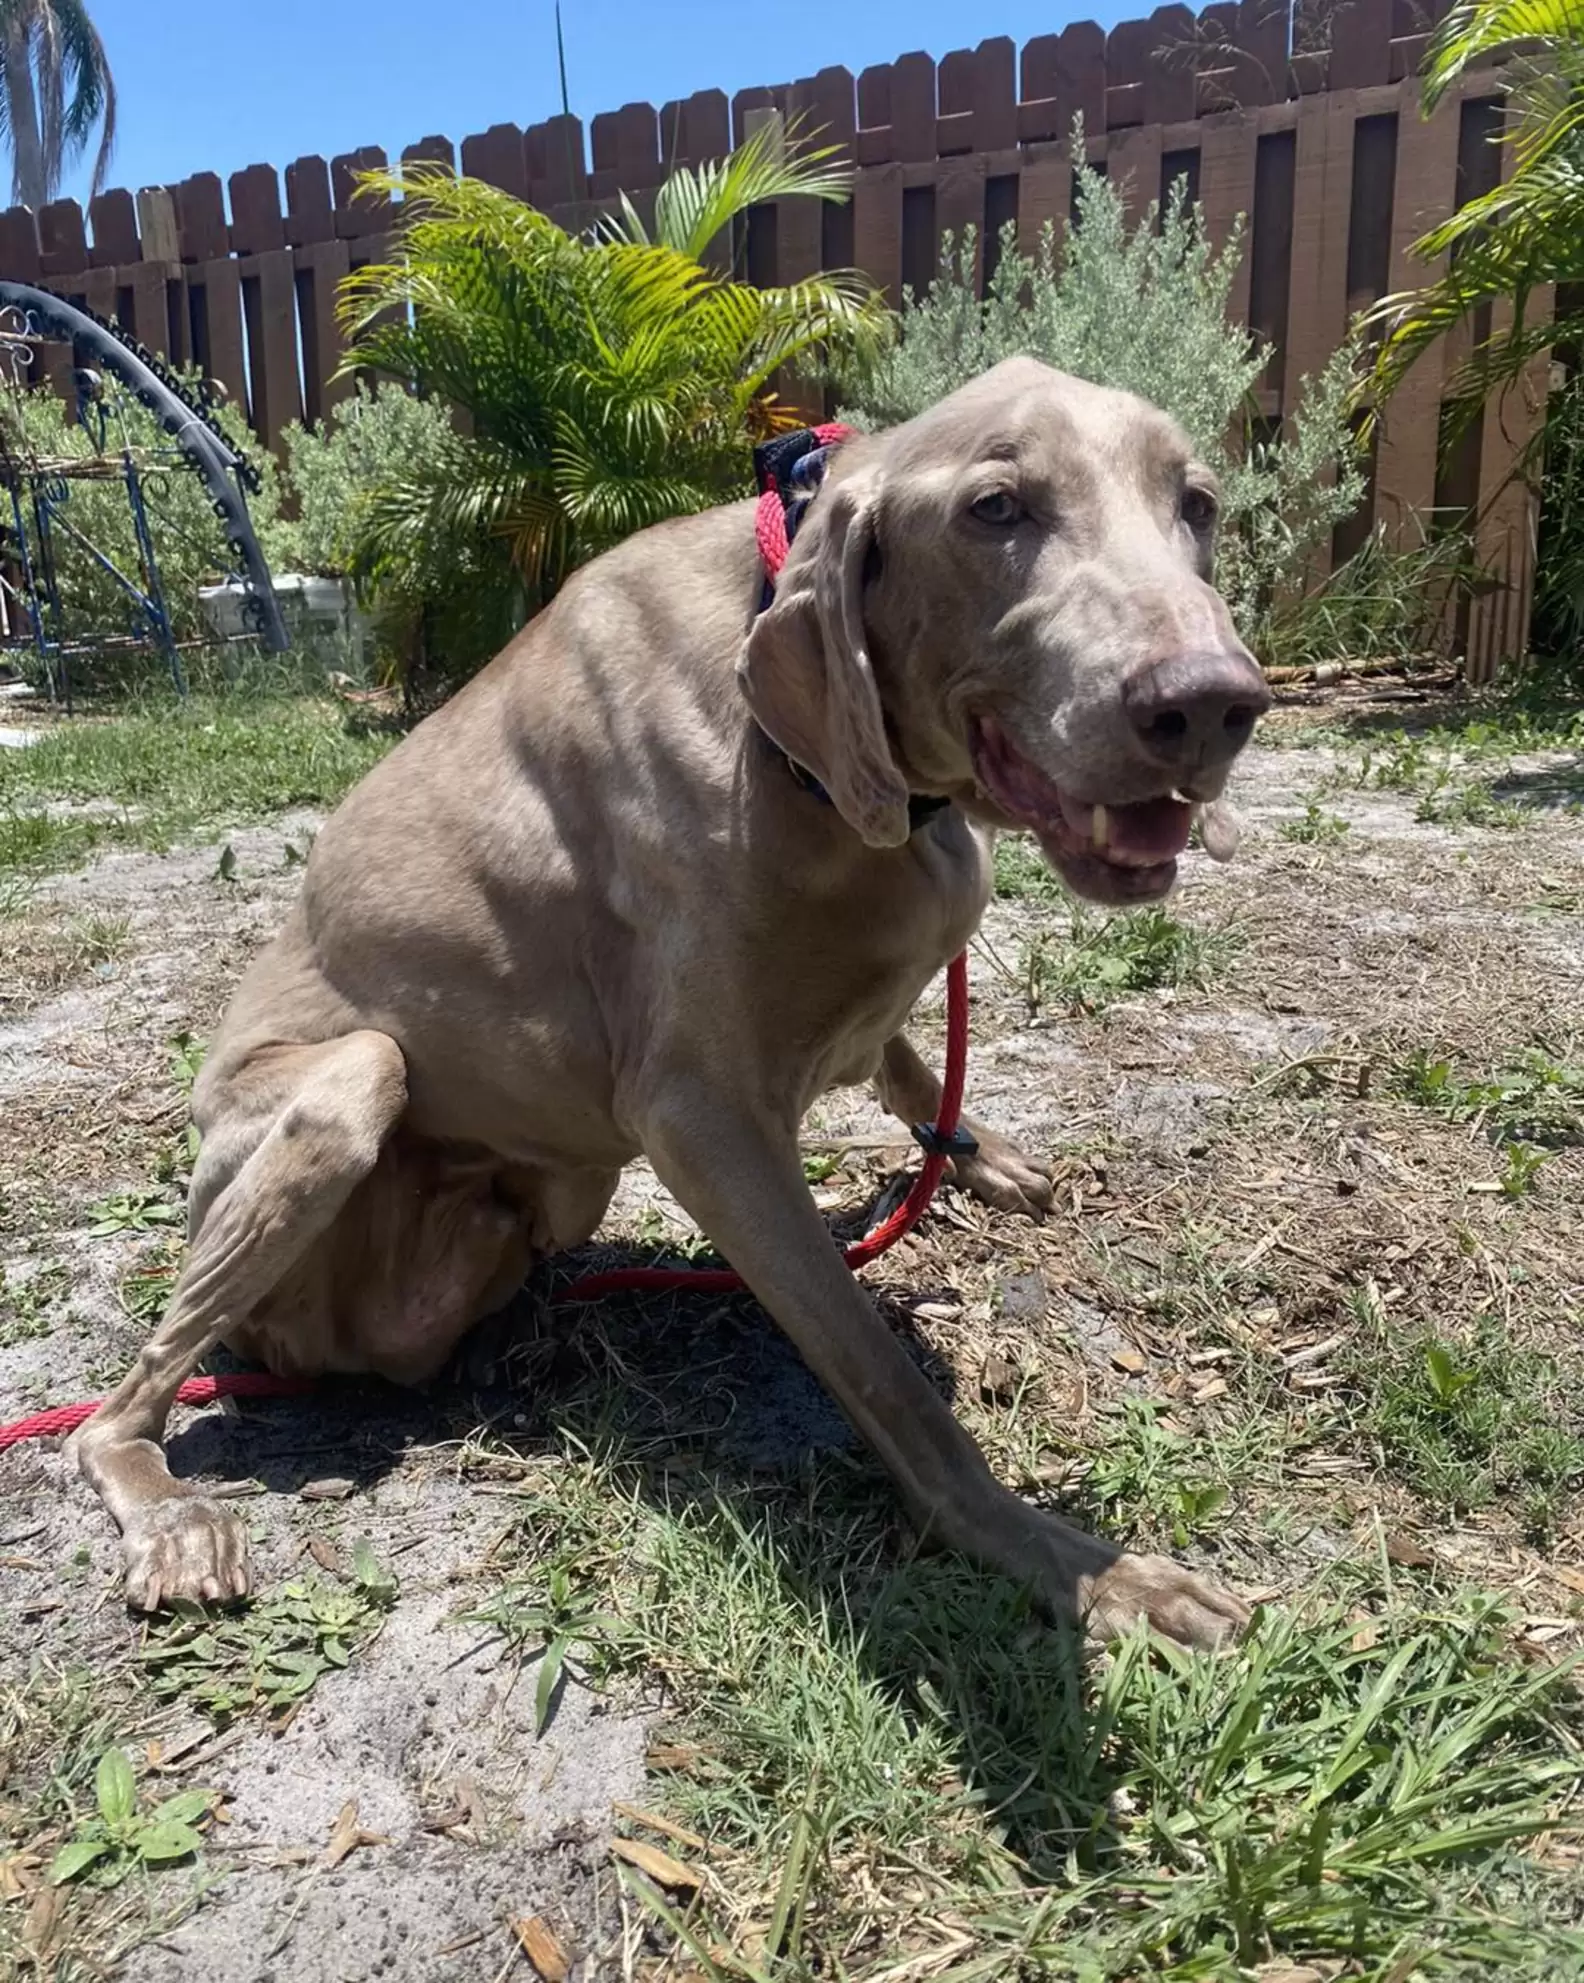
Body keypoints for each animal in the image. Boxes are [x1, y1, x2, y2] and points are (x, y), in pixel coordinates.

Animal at [71, 356, 1276, 1641]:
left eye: (1197, 503)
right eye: (995, 509)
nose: (1210, 703)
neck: (816, 768)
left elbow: (904, 1053)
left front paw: (976, 1150)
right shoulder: (703, 1121)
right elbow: (888, 1383)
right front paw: (1075, 1565)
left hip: (558, 1193)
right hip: (346, 1091)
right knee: (117, 1412)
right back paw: (177, 1521)